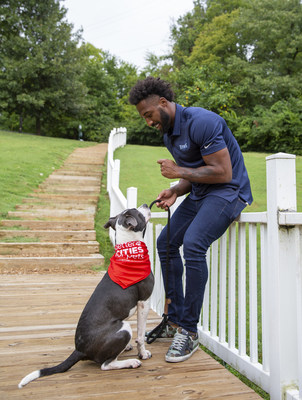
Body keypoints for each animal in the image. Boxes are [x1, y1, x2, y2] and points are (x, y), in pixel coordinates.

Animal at [19, 203, 155, 388]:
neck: (128, 250)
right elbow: (141, 335)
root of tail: (79, 349)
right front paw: (143, 353)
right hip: (123, 328)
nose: (146, 204)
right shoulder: (144, 302)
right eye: (137, 211)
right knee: (106, 365)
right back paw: (131, 362)